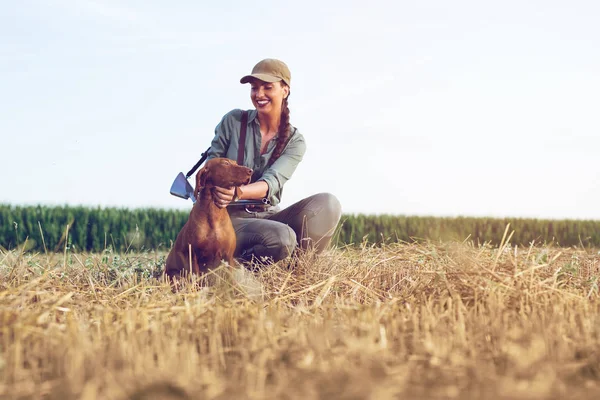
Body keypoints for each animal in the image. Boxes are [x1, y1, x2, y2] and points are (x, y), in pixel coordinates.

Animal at [163, 156, 252, 284]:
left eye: (236, 163)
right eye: (225, 163)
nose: (250, 171)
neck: (213, 214)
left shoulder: (228, 256)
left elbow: (230, 279)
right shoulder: (192, 255)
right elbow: (195, 279)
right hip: (174, 275)